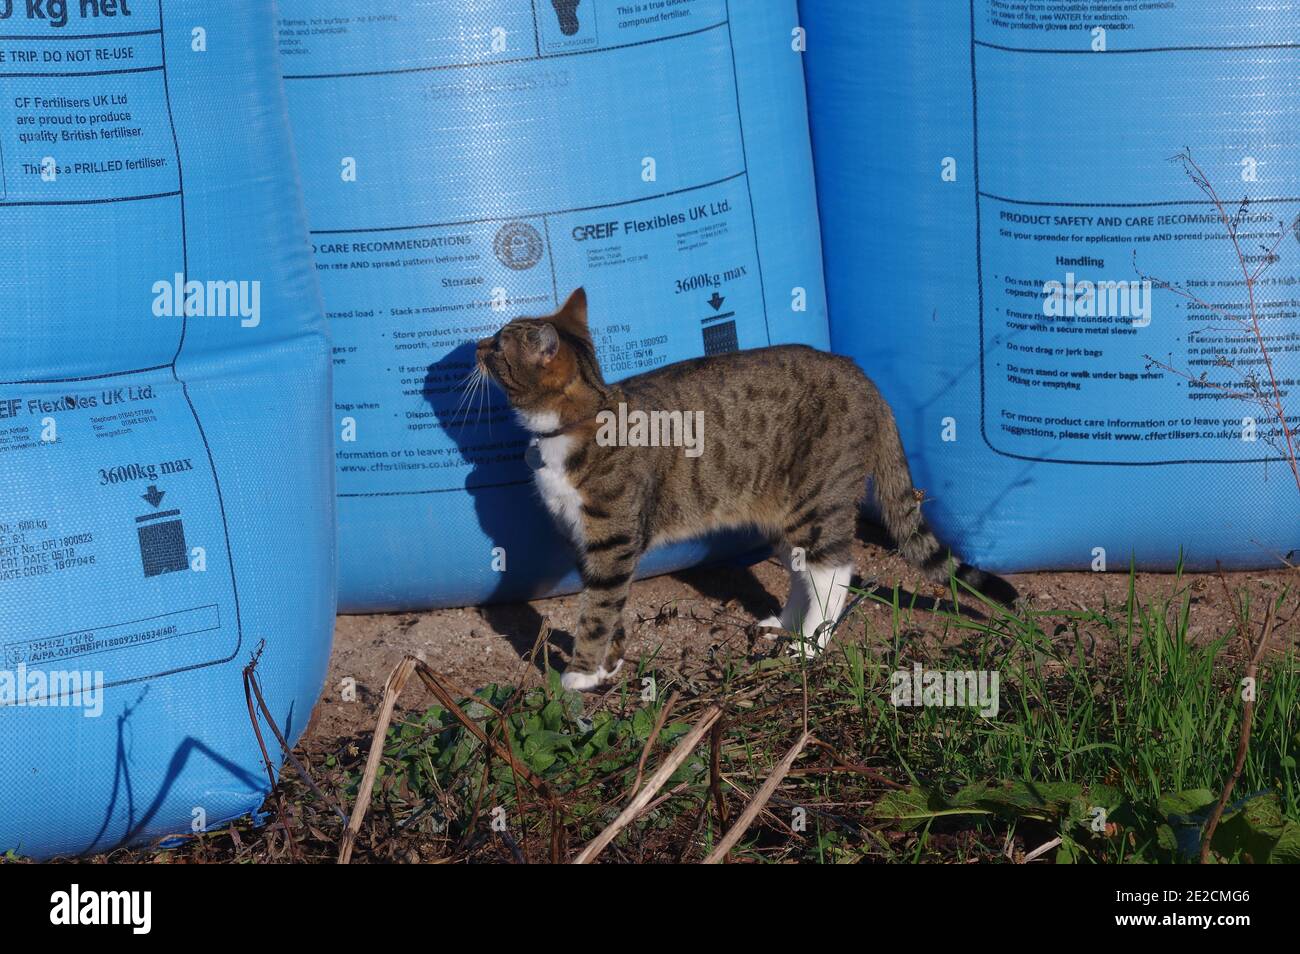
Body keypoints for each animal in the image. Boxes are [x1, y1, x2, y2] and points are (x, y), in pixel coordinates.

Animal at [478, 287, 1013, 691]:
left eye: (501, 346)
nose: (477, 344)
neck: (581, 418)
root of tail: (862, 376)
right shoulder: (589, 545)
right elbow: (611, 609)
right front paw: (610, 663)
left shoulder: (612, 542)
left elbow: (598, 609)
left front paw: (581, 675)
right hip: (783, 514)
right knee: (802, 572)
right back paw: (785, 625)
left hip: (817, 501)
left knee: (834, 571)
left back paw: (808, 645)